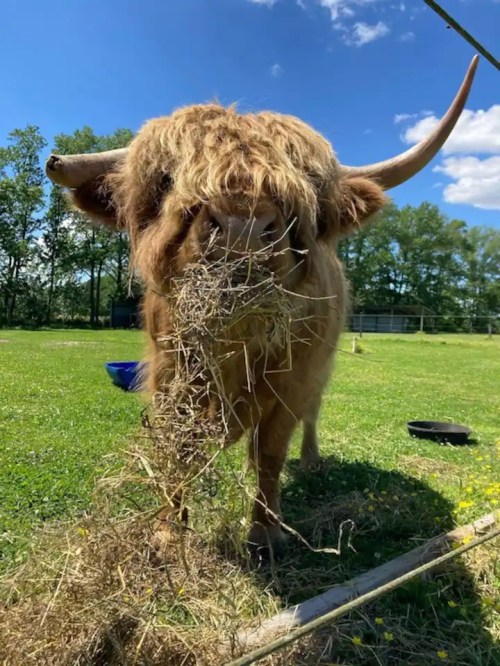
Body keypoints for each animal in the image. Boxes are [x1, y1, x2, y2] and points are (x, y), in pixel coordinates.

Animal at [45, 57, 478, 556]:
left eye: (304, 187)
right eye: (167, 180)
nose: (242, 228)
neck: (237, 343)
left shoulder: (292, 381)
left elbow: (271, 449)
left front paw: (266, 532)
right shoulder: (170, 376)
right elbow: (180, 449)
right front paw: (169, 531)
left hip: (322, 369)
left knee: (310, 415)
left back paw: (310, 460)